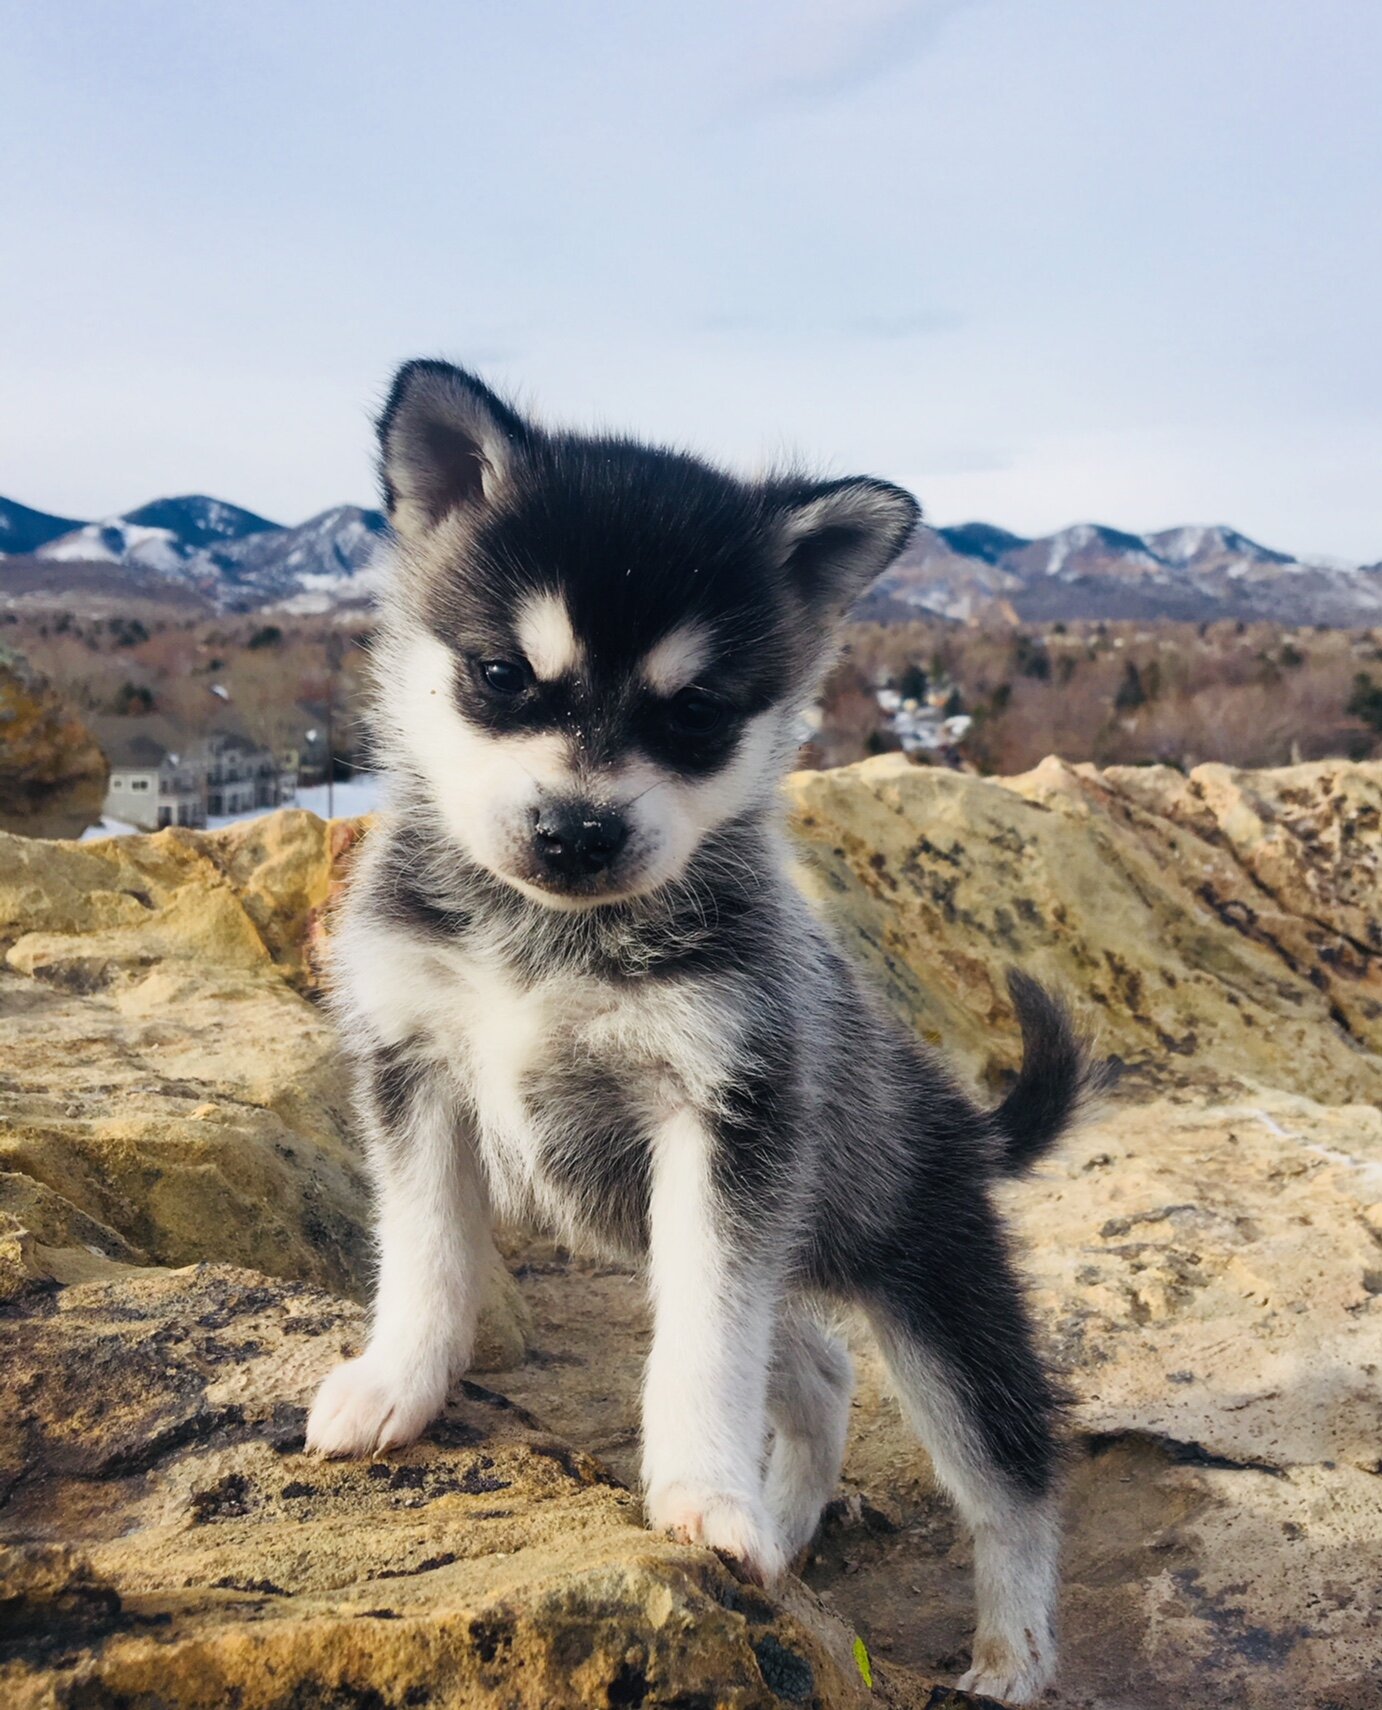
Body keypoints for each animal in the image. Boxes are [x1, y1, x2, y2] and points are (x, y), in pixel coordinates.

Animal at [307, 357, 1094, 1696]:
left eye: (698, 714)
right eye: (501, 676)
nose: (576, 833)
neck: (547, 939)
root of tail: (958, 1114)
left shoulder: (726, 1122)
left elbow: (701, 1348)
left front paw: (700, 1500)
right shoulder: (414, 1071)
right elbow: (425, 1256)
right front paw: (397, 1385)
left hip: (936, 1295)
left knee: (1008, 1485)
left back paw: (1013, 1653)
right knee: (822, 1373)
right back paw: (786, 1525)